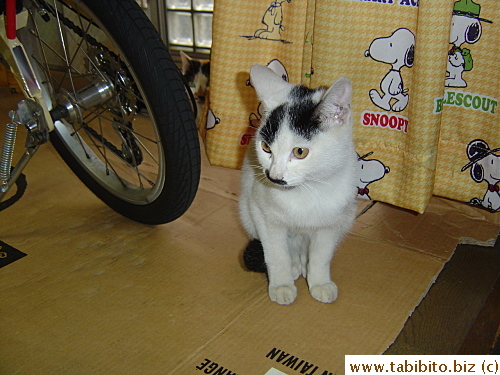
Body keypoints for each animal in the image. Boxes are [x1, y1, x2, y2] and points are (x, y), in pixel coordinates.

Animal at [239, 64, 360, 306]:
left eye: (300, 152)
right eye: (266, 147)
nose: (274, 176)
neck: (307, 189)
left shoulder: (332, 221)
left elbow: (321, 255)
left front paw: (319, 281)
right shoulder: (262, 213)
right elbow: (276, 254)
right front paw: (281, 284)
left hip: (347, 217)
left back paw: (304, 263)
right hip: (246, 212)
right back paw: (295, 264)